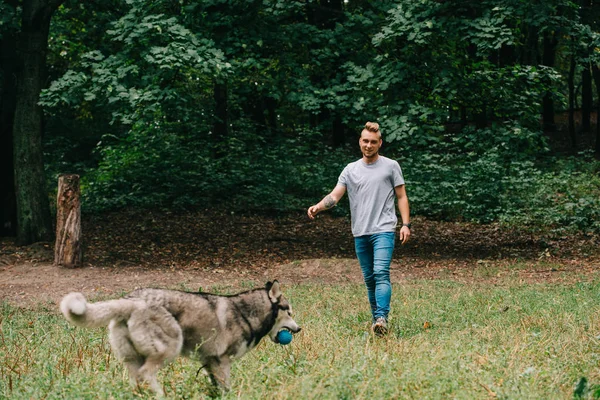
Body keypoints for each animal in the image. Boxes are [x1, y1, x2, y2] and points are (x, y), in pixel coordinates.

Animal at [61, 282, 300, 394]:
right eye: (289, 312)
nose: (298, 329)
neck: (244, 312)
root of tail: (132, 300)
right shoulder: (222, 361)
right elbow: (226, 388)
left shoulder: (209, 362)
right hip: (170, 348)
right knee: (146, 375)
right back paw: (161, 395)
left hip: (133, 361)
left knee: (137, 380)